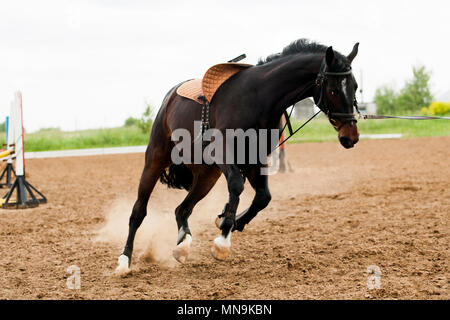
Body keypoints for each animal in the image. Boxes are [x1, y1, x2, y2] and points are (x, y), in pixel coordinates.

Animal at [115, 38, 358, 272]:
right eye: (334, 90)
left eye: (355, 87)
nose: (351, 136)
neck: (260, 98)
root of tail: (170, 97)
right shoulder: (224, 152)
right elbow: (236, 186)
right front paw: (223, 240)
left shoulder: (255, 160)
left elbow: (263, 197)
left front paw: (231, 221)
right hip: (155, 159)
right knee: (139, 211)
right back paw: (124, 260)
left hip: (207, 176)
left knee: (182, 210)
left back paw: (182, 246)